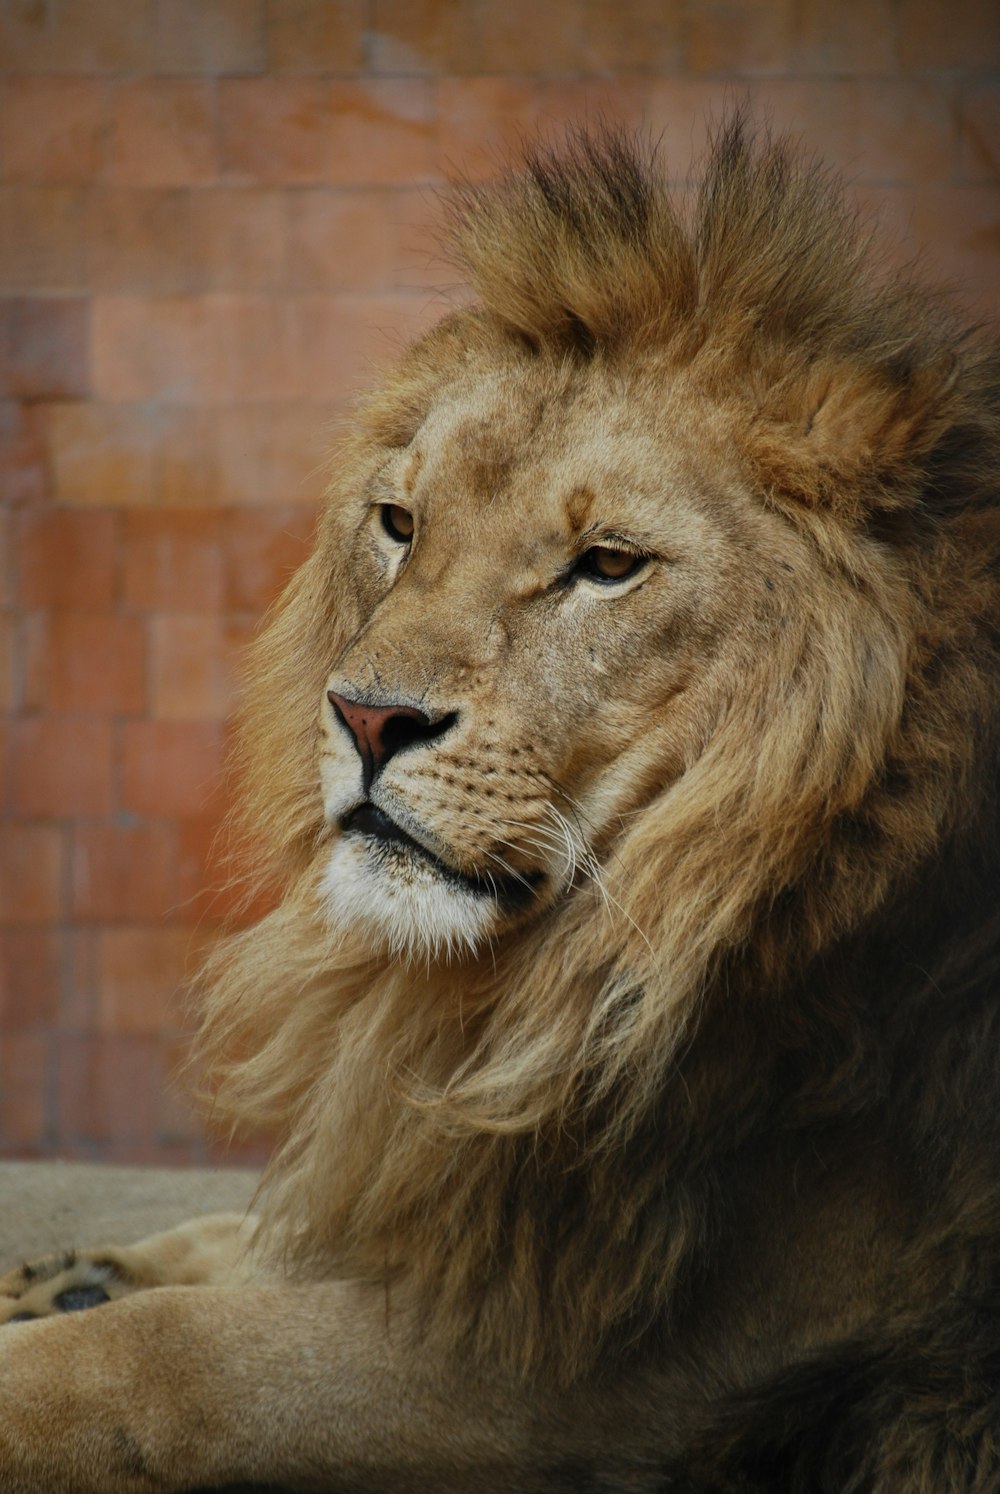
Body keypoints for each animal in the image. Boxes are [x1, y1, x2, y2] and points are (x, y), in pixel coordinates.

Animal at [1, 122, 998, 1488]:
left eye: (607, 565)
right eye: (400, 524)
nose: (366, 717)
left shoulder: (583, 1382)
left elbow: (171, 1358)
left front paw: (83, 1323)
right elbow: (273, 1231)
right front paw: (85, 1274)